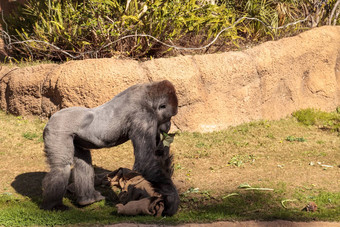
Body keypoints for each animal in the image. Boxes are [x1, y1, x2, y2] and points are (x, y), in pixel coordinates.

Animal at [41, 80, 179, 216]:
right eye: (169, 116)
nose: (169, 124)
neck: (149, 99)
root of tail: (51, 118)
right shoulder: (144, 118)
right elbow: (146, 162)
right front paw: (171, 199)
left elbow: (157, 155)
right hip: (58, 128)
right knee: (61, 167)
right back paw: (54, 205)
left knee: (83, 163)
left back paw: (87, 199)